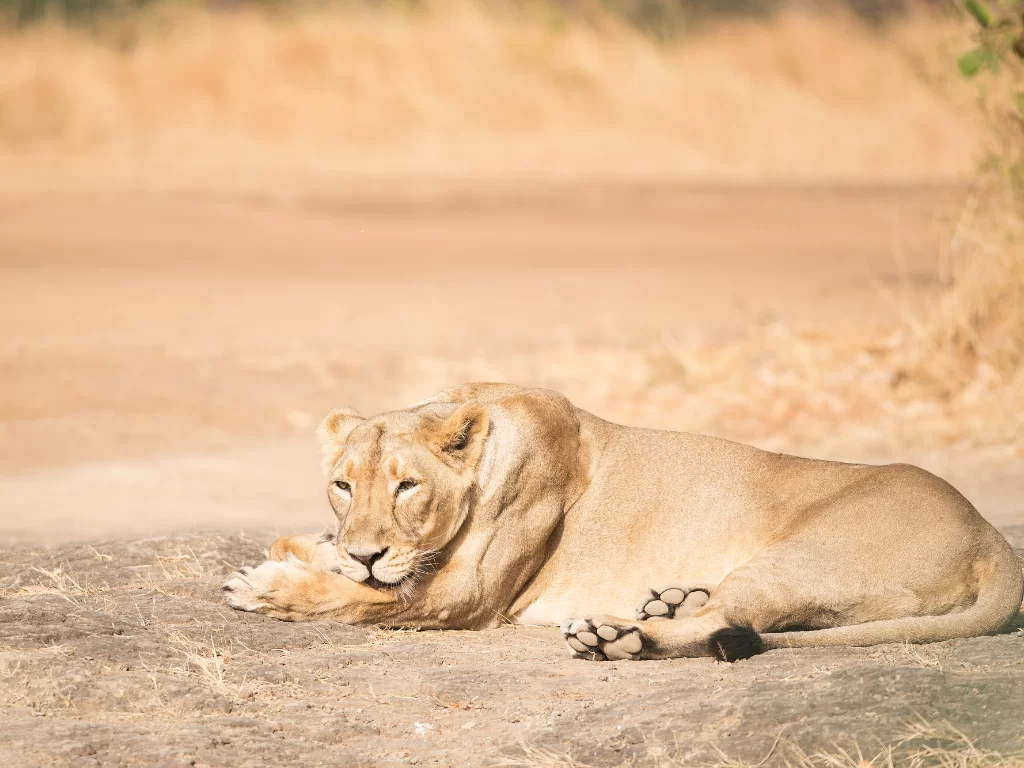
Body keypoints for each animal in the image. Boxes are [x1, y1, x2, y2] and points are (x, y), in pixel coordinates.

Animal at [223, 383, 1023, 661]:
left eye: (407, 487)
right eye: (342, 485)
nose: (365, 549)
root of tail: (990, 531)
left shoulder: (465, 597)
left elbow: (359, 598)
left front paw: (266, 586)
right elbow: (325, 557)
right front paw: (305, 549)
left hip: (806, 555)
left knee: (730, 623)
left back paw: (619, 637)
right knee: (735, 613)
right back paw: (665, 600)